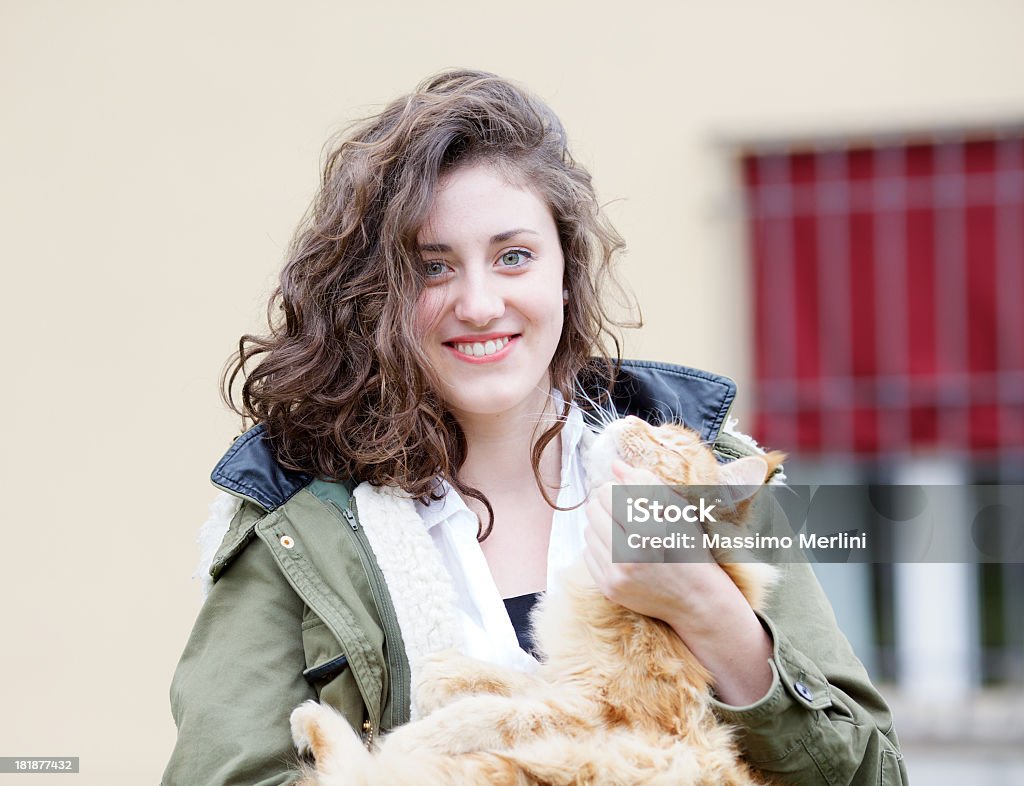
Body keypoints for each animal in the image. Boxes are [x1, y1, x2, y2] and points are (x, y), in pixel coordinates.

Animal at [288, 413, 782, 781]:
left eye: (668, 446)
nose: (632, 417)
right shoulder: (565, 679)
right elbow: (510, 681)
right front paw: (446, 673)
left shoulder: (596, 711)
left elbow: (492, 714)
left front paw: (414, 736)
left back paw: (317, 721)